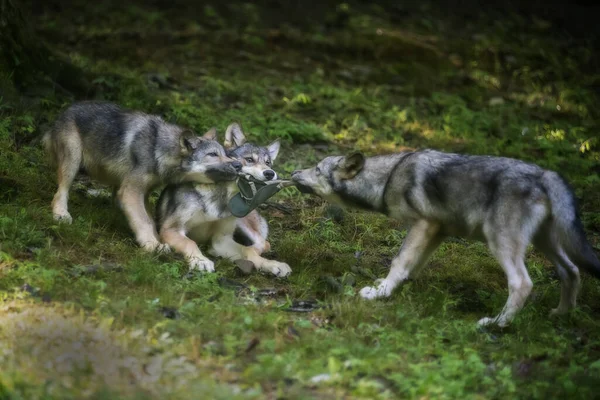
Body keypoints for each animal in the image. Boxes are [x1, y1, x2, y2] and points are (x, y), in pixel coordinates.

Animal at [43, 101, 240, 252]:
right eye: (213, 154)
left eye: (225, 154)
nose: (238, 164)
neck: (158, 150)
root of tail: (66, 109)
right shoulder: (131, 192)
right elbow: (144, 221)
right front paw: (152, 245)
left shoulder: (142, 193)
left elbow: (150, 222)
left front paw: (158, 242)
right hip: (73, 162)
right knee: (61, 192)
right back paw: (61, 214)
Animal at [155, 123, 290, 276]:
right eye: (249, 159)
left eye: (268, 163)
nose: (270, 173)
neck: (218, 195)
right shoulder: (170, 229)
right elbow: (190, 242)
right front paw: (201, 261)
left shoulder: (221, 240)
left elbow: (246, 249)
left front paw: (271, 264)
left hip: (241, 222)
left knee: (261, 244)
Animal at [292, 148, 600, 326]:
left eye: (316, 169)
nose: (294, 171)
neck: (387, 178)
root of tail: (546, 174)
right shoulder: (436, 231)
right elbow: (412, 265)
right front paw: (393, 287)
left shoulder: (422, 225)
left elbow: (398, 260)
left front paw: (380, 293)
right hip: (544, 243)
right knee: (571, 271)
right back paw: (562, 314)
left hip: (501, 244)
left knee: (522, 283)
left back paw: (496, 323)